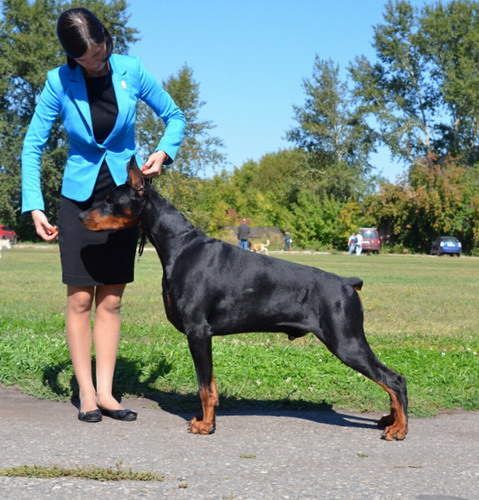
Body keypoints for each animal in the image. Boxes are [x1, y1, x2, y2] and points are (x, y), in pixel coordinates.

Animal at [79, 157, 408, 442]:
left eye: (109, 200)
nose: (81, 216)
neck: (179, 246)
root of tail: (348, 283)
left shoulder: (198, 332)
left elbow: (204, 387)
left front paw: (206, 426)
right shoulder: (203, 336)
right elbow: (211, 385)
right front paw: (207, 420)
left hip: (346, 340)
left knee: (394, 380)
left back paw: (399, 429)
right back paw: (389, 420)